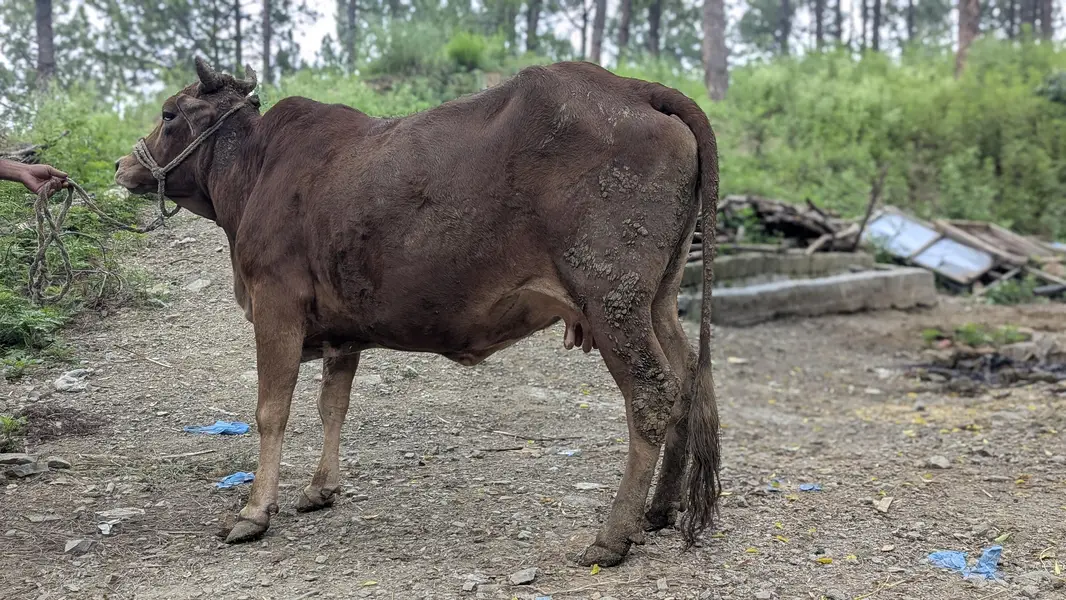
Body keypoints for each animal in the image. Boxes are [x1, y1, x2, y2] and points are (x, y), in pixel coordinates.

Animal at [114, 57, 721, 567]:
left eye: (169, 113)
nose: (122, 164)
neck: (256, 171)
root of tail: (637, 89)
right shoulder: (342, 331)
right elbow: (332, 407)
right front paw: (320, 488)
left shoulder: (275, 305)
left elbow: (272, 411)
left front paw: (253, 512)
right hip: (655, 301)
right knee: (688, 378)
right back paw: (659, 511)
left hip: (611, 300)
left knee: (651, 394)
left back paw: (612, 537)